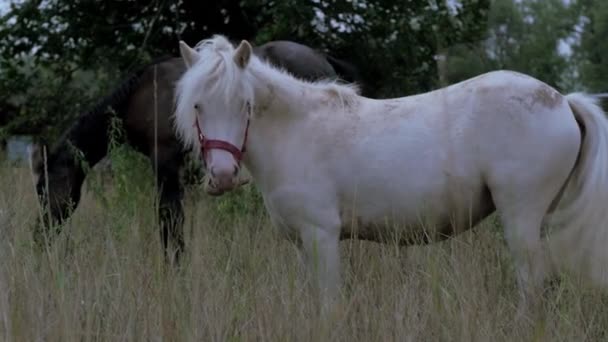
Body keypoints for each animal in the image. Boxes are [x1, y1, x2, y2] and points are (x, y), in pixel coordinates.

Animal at [29, 38, 366, 260]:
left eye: (44, 187)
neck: (141, 94)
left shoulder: (165, 162)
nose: (39, 236)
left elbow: (169, 220)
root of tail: (322, 56)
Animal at [172, 35, 608, 318]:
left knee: (532, 283)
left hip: (521, 217)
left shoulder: (321, 236)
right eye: (197, 105)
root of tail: (562, 101)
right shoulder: (301, 243)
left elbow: (329, 303)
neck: (296, 130)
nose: (223, 175)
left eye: (244, 104)